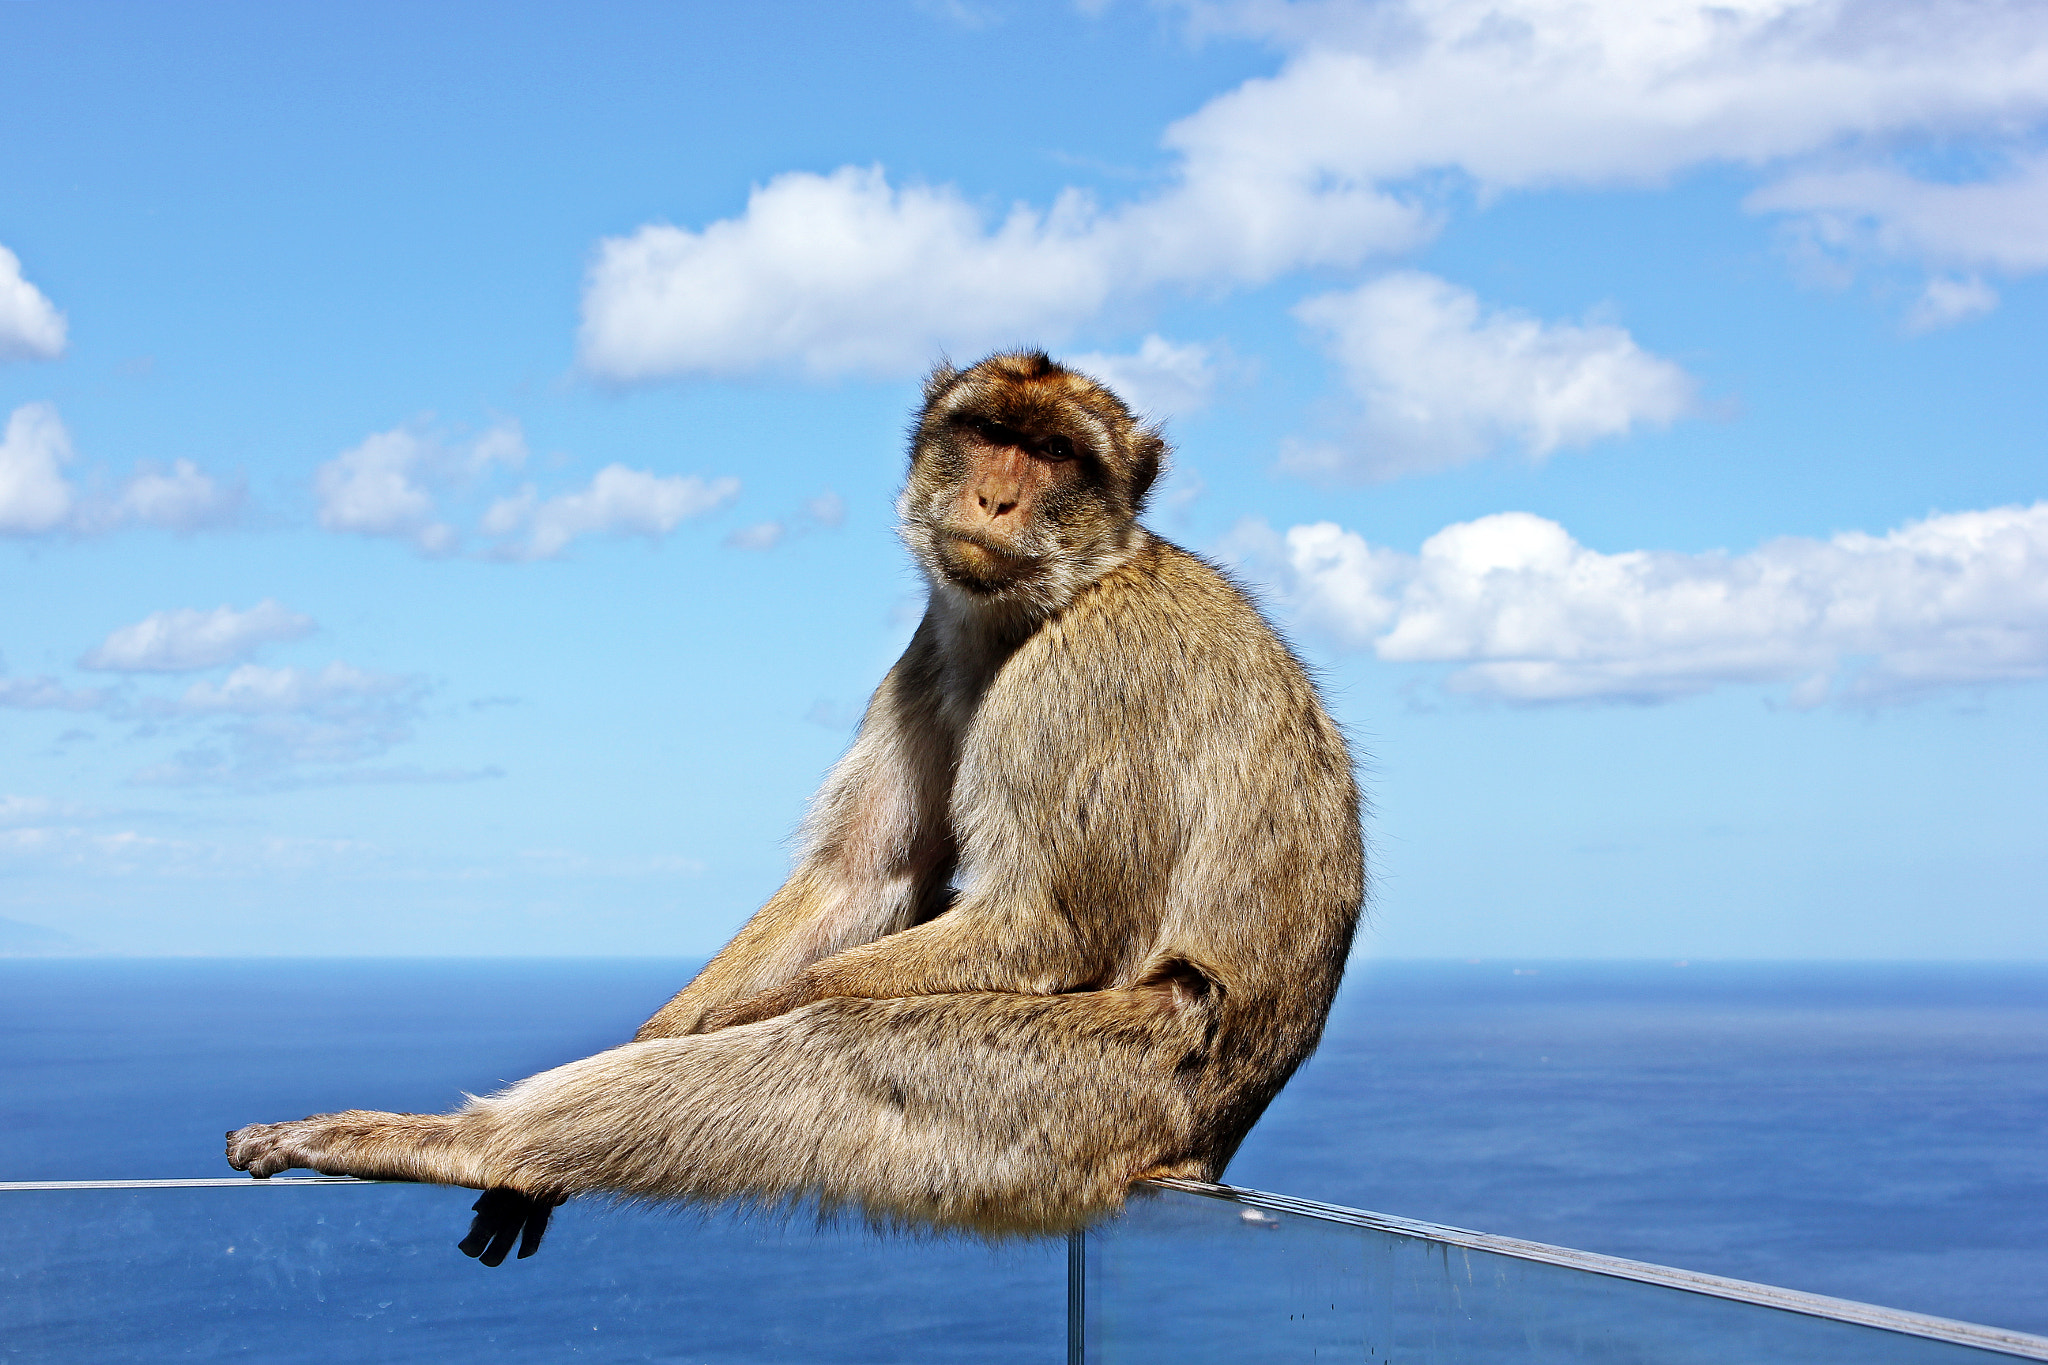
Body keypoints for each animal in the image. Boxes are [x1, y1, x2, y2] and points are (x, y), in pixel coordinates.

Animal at [226, 351, 1365, 1267]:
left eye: (1053, 453)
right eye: (987, 435)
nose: (995, 499)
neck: (1046, 604)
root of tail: (1202, 1148)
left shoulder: (1089, 674)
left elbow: (1043, 927)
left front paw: (728, 1024)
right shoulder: (932, 645)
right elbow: (860, 878)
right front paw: (664, 1029)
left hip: (1090, 1095)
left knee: (842, 1048)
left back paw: (461, 1143)